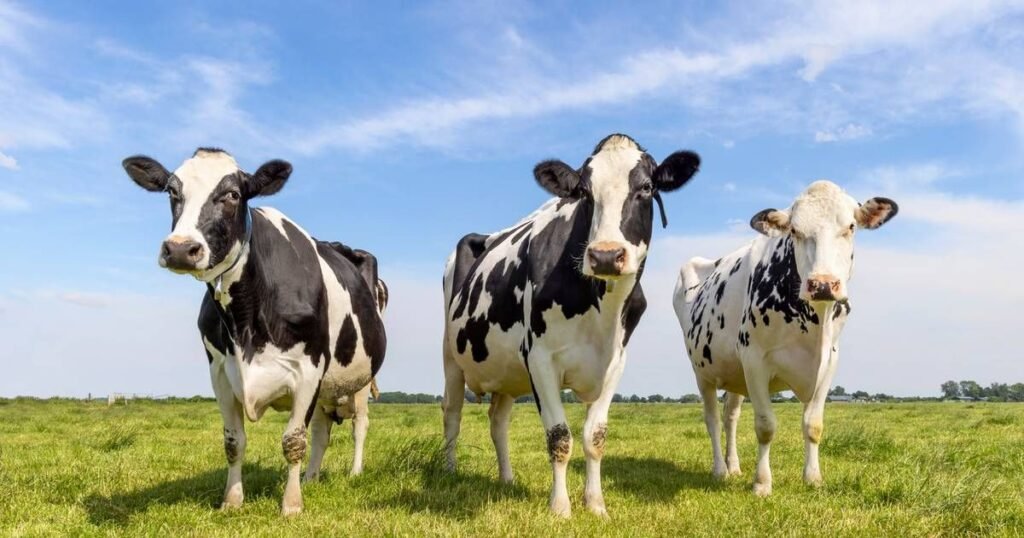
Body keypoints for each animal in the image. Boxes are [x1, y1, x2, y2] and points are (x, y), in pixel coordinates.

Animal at [123, 148, 387, 515]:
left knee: (359, 425)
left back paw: (354, 473)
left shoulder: (309, 368)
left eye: (233, 194)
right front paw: (232, 500)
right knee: (321, 432)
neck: (245, 320)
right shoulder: (220, 371)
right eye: (172, 192)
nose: (179, 249)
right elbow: (234, 441)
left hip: (360, 380)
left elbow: (293, 441)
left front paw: (291, 506)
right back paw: (311, 478)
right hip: (326, 388)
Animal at [442, 134, 700, 517]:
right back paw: (448, 472)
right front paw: (561, 508)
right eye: (584, 193)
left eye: (646, 187)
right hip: (450, 357)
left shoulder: (615, 361)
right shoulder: (539, 358)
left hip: (506, 373)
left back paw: (507, 478)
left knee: (498, 421)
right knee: (452, 413)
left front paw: (595, 504)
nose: (606, 255)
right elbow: (559, 436)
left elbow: (595, 436)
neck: (600, 310)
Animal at [672, 180, 897, 496]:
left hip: (734, 374)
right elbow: (766, 426)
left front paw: (813, 477)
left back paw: (734, 466)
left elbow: (813, 425)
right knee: (713, 420)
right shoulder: (754, 358)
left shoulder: (830, 361)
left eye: (851, 226)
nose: (823, 284)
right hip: (702, 371)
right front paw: (762, 483)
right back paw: (720, 471)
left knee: (730, 417)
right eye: (794, 231)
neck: (815, 324)